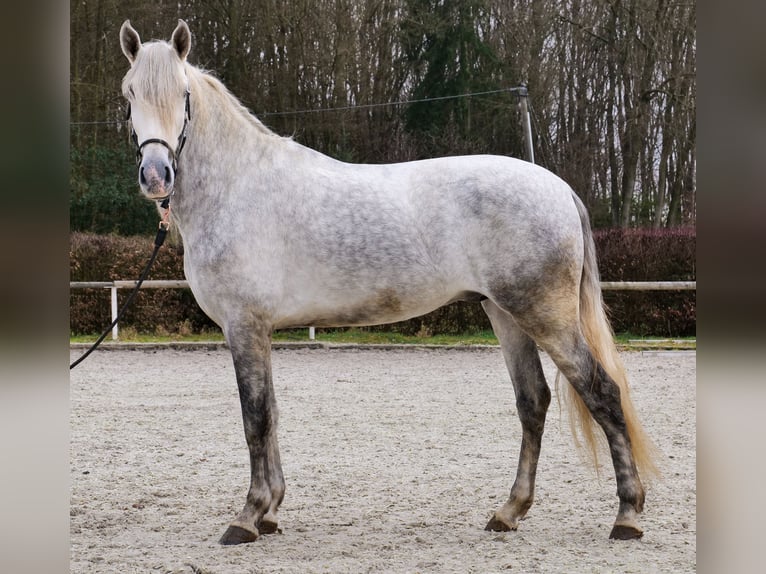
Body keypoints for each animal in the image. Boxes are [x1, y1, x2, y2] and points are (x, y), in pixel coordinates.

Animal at [118, 19, 657, 545]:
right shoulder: (259, 330)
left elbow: (256, 419)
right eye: (129, 93)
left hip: (545, 316)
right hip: (504, 313)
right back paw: (509, 512)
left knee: (603, 392)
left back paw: (627, 516)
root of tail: (559, 188)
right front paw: (270, 511)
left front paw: (248, 517)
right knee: (533, 401)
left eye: (183, 93)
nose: (156, 174)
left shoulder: (243, 325)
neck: (239, 186)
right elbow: (270, 415)